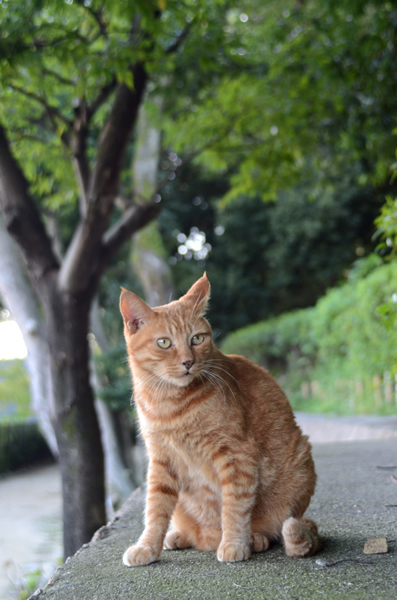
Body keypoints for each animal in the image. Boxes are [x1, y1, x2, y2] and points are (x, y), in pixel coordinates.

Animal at [118, 274, 318, 564]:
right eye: (164, 342)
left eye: (197, 338)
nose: (188, 362)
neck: (169, 405)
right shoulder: (162, 459)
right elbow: (155, 510)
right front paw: (147, 547)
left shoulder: (236, 454)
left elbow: (234, 505)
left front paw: (234, 543)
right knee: (199, 533)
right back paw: (181, 536)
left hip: (300, 464)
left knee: (273, 529)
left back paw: (253, 539)